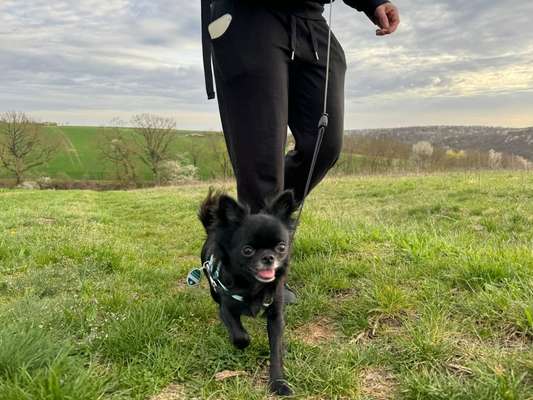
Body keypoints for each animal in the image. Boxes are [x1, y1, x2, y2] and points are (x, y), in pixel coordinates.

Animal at [198, 189, 300, 396]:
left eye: (281, 247)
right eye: (247, 250)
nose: (268, 257)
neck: (253, 285)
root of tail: (212, 231)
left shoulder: (275, 316)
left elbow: (276, 350)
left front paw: (279, 383)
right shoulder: (226, 309)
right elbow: (239, 335)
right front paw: (243, 343)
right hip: (213, 291)